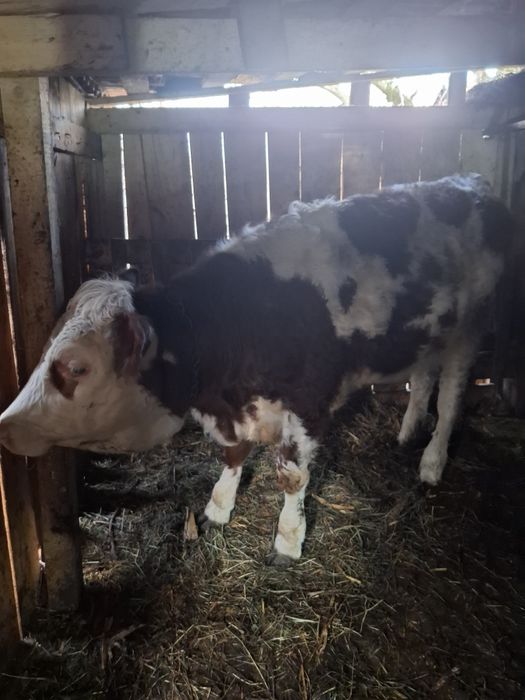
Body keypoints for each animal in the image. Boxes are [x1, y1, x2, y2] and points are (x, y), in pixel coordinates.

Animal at [0, 174, 512, 566]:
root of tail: (471, 182)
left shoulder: (308, 403)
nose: (7, 424)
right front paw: (217, 507)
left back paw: (431, 462)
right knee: (423, 380)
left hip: (471, 329)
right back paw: (407, 433)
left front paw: (287, 540)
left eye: (77, 367)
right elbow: (232, 455)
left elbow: (291, 476)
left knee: (451, 399)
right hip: (427, 335)